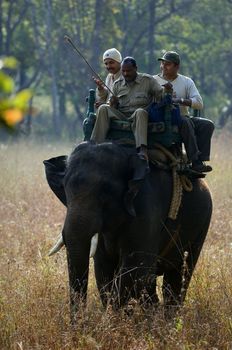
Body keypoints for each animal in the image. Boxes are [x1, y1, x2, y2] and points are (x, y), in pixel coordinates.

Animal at [43, 140, 212, 320]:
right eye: (65, 189)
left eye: (106, 191)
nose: (81, 323)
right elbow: (103, 269)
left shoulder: (146, 207)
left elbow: (135, 267)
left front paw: (113, 320)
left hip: (202, 224)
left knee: (178, 274)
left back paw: (167, 320)